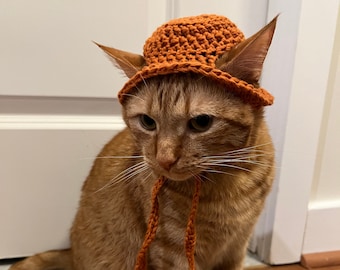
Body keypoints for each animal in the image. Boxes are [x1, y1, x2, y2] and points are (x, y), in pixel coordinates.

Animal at [9, 14, 276, 270]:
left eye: (201, 122)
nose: (164, 160)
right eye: (148, 122)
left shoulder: (236, 248)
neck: (230, 183)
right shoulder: (172, 254)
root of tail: (72, 252)